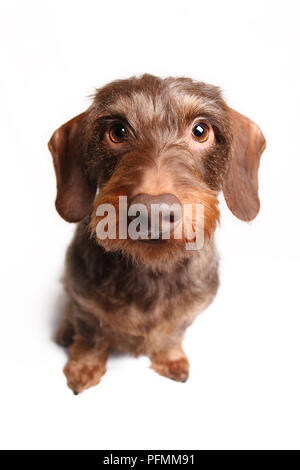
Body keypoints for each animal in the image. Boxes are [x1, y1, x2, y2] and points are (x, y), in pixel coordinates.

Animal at [48, 75, 266, 392]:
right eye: (117, 131)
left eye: (200, 130)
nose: (153, 212)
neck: (151, 269)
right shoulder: (85, 304)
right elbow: (90, 336)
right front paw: (84, 367)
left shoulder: (189, 312)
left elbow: (172, 334)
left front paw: (170, 359)